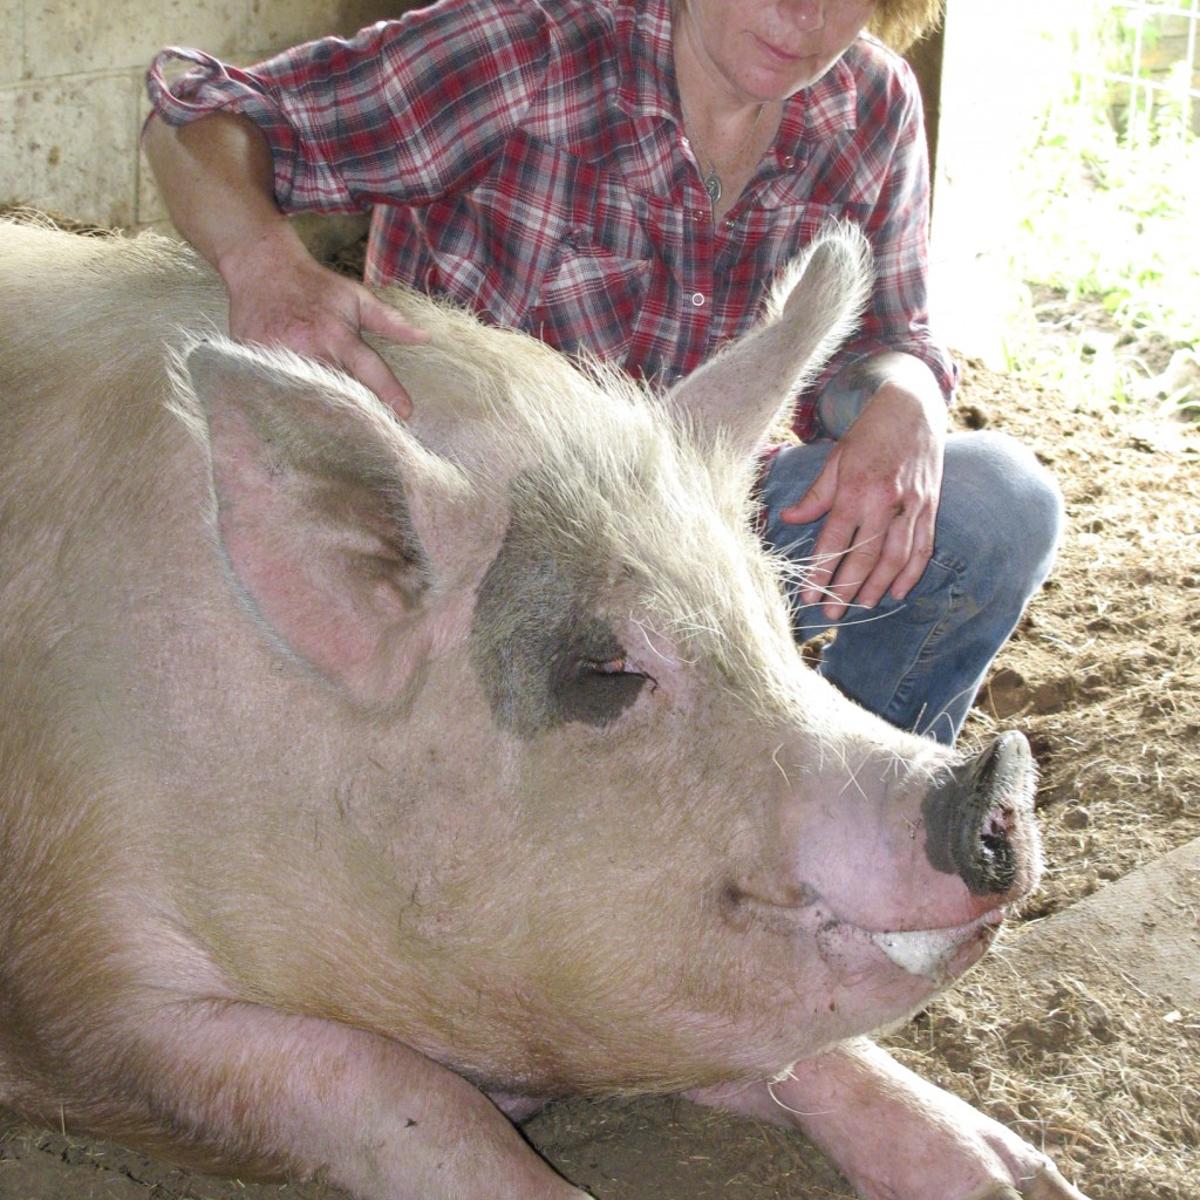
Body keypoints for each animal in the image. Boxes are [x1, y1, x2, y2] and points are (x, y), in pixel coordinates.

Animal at [0, 217, 1088, 1200]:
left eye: (780, 627)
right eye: (602, 672)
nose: (995, 775)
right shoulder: (94, 986)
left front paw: (1026, 1180)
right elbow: (400, 1092)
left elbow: (800, 1053)